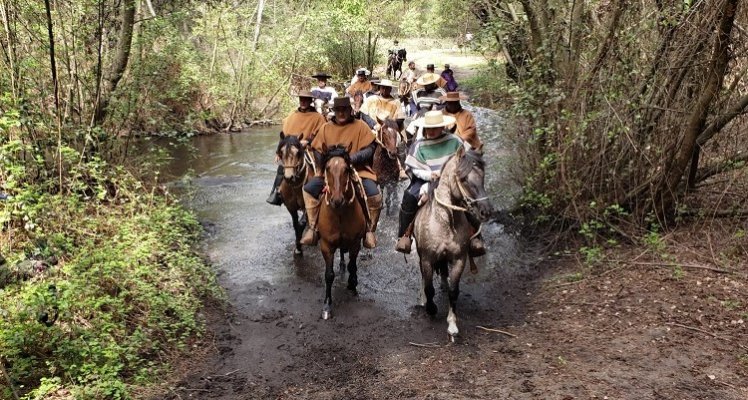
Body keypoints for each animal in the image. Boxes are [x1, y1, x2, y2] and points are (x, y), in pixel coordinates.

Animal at [318, 144, 366, 318]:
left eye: (346, 169)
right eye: (327, 168)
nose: (337, 200)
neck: (339, 213)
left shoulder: (355, 242)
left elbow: (353, 266)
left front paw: (352, 285)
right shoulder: (326, 245)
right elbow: (329, 275)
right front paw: (327, 305)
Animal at [412, 147, 494, 340]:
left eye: (483, 177)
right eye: (464, 179)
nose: (486, 211)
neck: (445, 222)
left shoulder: (459, 259)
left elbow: (453, 291)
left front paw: (452, 324)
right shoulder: (427, 259)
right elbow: (429, 288)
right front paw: (431, 309)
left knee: (443, 271)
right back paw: (423, 300)